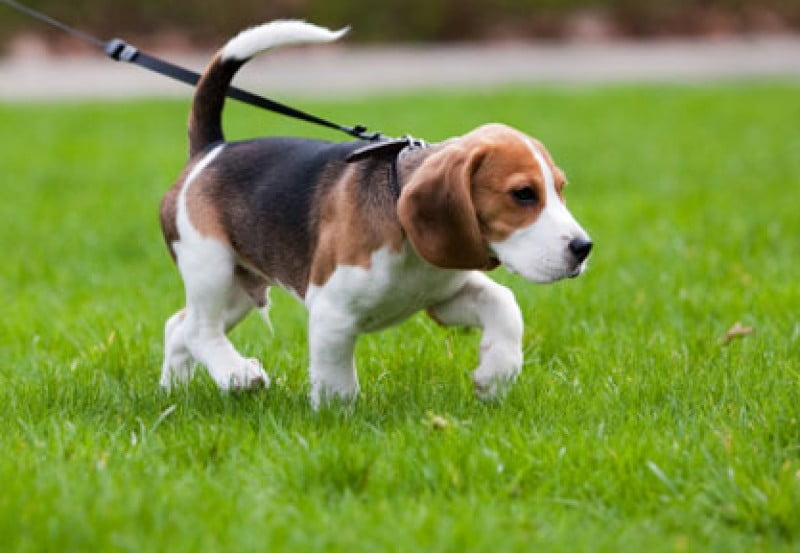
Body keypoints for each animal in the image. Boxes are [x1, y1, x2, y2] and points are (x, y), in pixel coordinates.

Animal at [159, 20, 592, 406]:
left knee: (178, 326)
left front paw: (496, 375)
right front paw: (337, 417)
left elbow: (504, 304)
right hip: (211, 265)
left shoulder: (444, 296)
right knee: (199, 330)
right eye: (523, 194)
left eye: (560, 189)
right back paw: (237, 373)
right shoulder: (331, 312)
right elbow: (336, 380)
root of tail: (212, 150)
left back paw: (174, 392)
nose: (583, 248)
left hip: (240, 288)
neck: (407, 237)